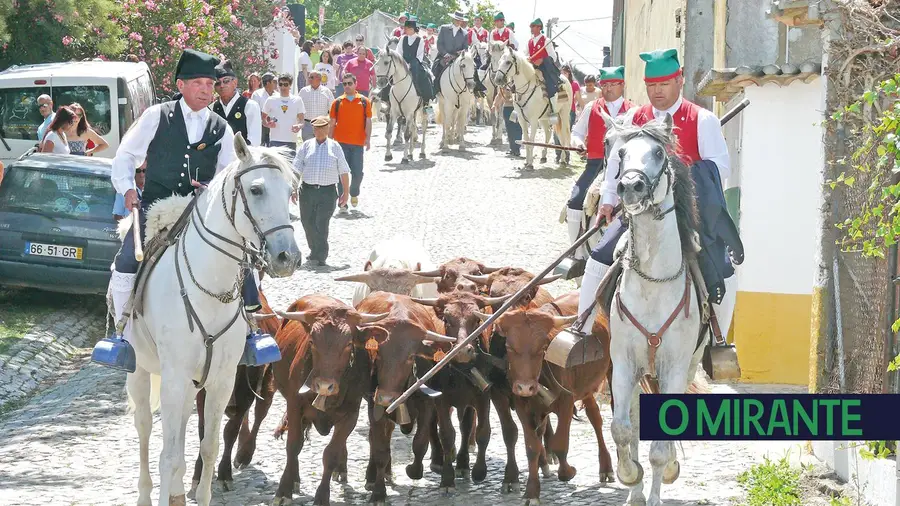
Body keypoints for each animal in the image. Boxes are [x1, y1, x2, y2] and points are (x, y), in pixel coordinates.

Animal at [122, 134, 302, 506]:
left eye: (291, 191)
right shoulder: (174, 376)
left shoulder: (221, 380)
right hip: (142, 371)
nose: (288, 257)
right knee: (146, 430)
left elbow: (210, 445)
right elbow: (168, 454)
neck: (208, 287)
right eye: (257, 189)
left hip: (192, 384)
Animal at [270, 294, 390, 504]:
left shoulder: (351, 414)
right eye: (312, 341)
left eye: (349, 344)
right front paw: (284, 490)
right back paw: (295, 478)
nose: (325, 385)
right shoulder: (294, 405)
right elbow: (293, 446)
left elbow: (331, 453)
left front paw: (321, 496)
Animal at [356, 290, 460, 504]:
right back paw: (374, 475)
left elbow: (420, 442)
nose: (386, 399)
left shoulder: (427, 404)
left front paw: (414, 470)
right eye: (378, 353)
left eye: (411, 357)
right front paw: (378, 492)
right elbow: (379, 448)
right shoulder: (374, 405)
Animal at [486, 290, 620, 504]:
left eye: (542, 348)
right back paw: (605, 465)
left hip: (612, 371)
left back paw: (610, 465)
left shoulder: (566, 400)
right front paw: (532, 492)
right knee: (594, 416)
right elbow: (531, 447)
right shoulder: (522, 405)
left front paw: (568, 471)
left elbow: (559, 443)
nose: (525, 387)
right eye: (510, 347)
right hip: (585, 386)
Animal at [596, 114, 712, 506]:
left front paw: (664, 474)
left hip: (686, 367)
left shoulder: (675, 367)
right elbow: (621, 429)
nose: (630, 186)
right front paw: (630, 476)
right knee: (631, 419)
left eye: (659, 152)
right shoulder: (622, 362)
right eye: (621, 152)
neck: (653, 283)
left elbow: (660, 448)